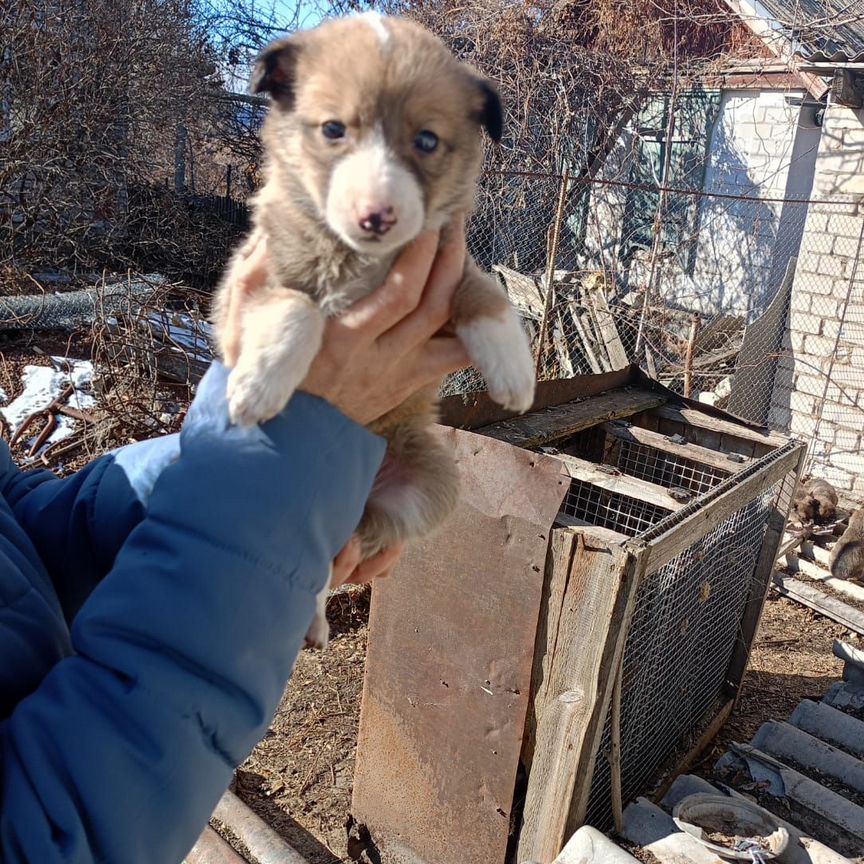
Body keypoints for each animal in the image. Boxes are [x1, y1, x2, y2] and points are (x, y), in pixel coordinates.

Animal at [211, 13, 532, 648]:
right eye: (334, 129)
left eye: (427, 140)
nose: (376, 216)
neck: (361, 259)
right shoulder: (252, 279)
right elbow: (299, 309)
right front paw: (259, 385)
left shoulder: (445, 262)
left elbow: (485, 290)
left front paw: (514, 372)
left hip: (428, 486)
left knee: (341, 552)